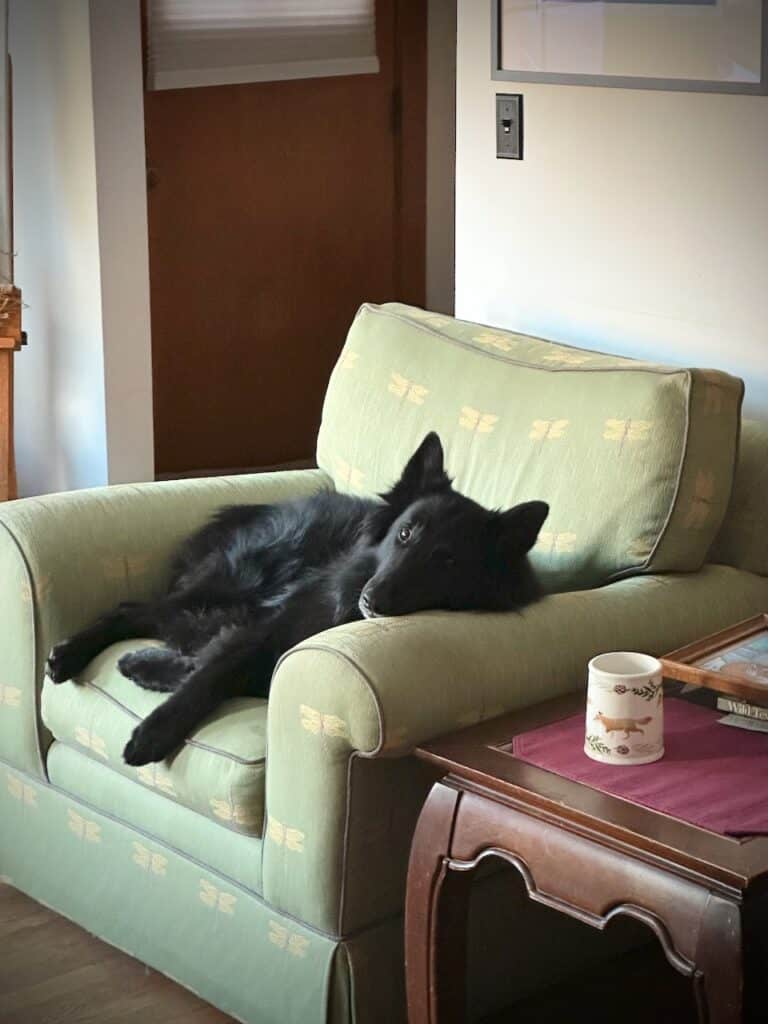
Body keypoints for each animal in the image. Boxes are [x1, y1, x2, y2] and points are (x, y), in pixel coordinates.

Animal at [46, 430, 548, 761]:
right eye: (405, 534)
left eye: (447, 562)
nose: (372, 599)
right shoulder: (268, 627)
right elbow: (211, 676)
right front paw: (155, 729)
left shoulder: (269, 645)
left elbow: (230, 673)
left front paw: (150, 670)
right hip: (237, 583)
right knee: (133, 611)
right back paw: (70, 655)